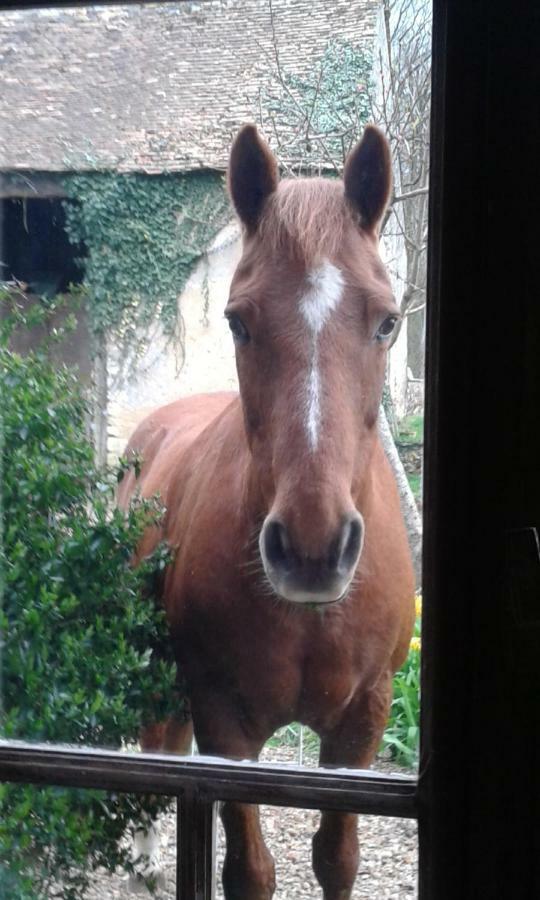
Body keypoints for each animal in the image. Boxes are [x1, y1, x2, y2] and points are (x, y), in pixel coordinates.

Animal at [118, 125, 414, 900]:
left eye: (387, 321)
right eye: (237, 321)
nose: (312, 547)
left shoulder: (361, 723)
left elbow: (337, 858)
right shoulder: (226, 724)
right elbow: (248, 870)